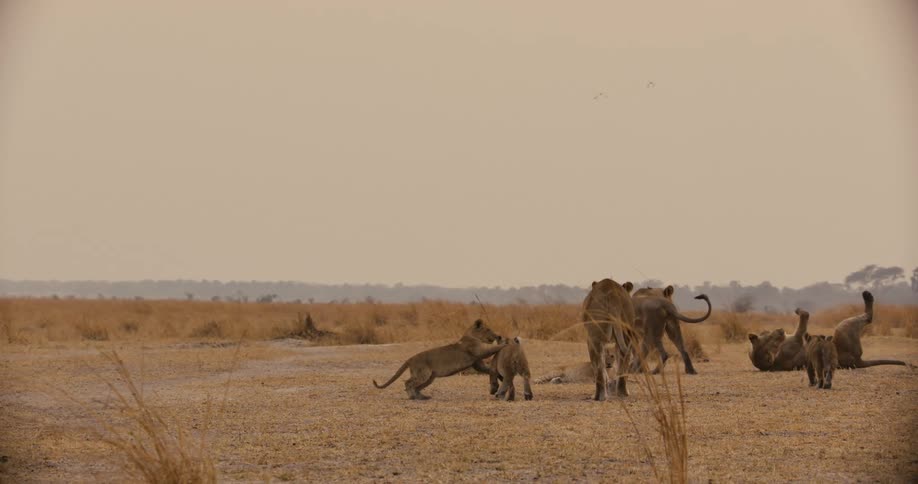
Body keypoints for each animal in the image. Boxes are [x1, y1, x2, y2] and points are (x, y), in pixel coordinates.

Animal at [373, 319, 507, 400]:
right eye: (488, 329)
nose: (498, 335)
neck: (472, 336)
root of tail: (410, 358)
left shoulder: (477, 362)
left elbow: (487, 369)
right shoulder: (479, 351)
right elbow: (492, 348)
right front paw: (504, 343)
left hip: (429, 378)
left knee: (416, 386)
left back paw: (422, 396)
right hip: (423, 374)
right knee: (408, 383)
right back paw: (413, 397)